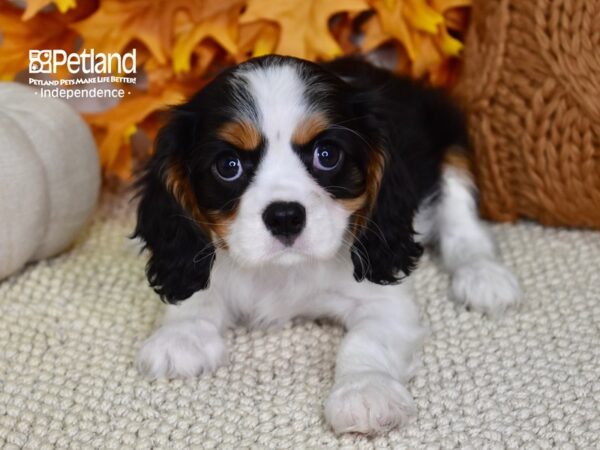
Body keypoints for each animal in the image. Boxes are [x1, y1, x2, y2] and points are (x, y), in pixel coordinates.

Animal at [134, 54, 516, 434]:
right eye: (229, 166)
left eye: (327, 155)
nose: (284, 216)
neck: (284, 272)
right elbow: (200, 294)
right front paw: (181, 335)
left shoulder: (385, 303)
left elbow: (364, 340)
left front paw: (364, 390)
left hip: (450, 143)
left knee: (461, 222)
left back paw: (484, 277)